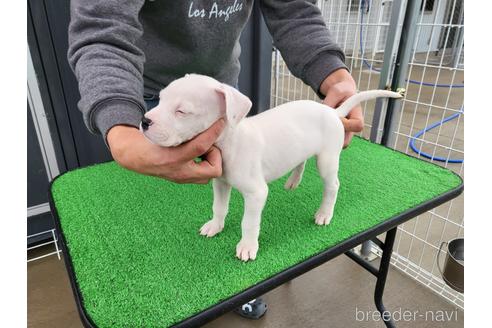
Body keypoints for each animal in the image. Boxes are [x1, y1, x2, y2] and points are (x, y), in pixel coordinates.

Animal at [142, 73, 404, 262]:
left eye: (181, 111)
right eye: (160, 99)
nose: (144, 121)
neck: (230, 141)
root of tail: (331, 111)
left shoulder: (256, 193)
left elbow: (249, 222)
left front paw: (247, 247)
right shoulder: (221, 182)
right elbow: (219, 207)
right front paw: (215, 226)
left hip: (328, 159)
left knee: (333, 185)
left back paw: (324, 213)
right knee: (301, 160)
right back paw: (293, 181)